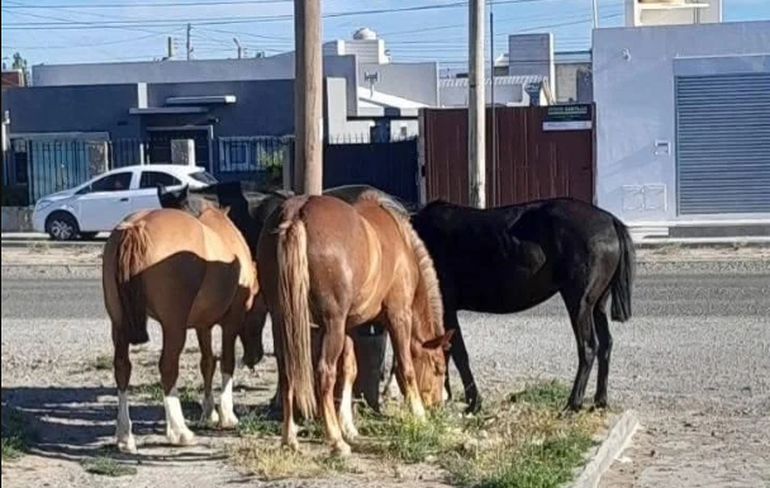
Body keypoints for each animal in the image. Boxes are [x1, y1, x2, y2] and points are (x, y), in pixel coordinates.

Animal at [102, 206, 261, 453]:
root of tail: (137, 227)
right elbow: (226, 362)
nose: (255, 357)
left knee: (122, 368)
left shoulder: (202, 324)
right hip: (173, 327)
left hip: (118, 323)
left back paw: (125, 436)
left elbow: (207, 363)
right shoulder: (231, 321)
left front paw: (209, 412)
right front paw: (227, 415)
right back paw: (179, 431)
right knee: (167, 368)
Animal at [257, 190, 453, 456]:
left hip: (283, 321)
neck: (401, 243)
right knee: (324, 374)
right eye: (439, 368)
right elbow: (406, 367)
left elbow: (350, 370)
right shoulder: (398, 316)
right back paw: (335, 440)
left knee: (287, 371)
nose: (438, 406)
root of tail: (296, 213)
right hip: (332, 325)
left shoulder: (349, 327)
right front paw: (419, 415)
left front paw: (348, 425)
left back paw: (290, 438)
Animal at [404, 197, 635, 414]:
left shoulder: (447, 309)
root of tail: (610, 220)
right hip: (597, 305)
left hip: (580, 303)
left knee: (587, 348)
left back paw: (573, 404)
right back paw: (599, 401)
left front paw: (472, 403)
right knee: (606, 344)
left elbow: (458, 355)